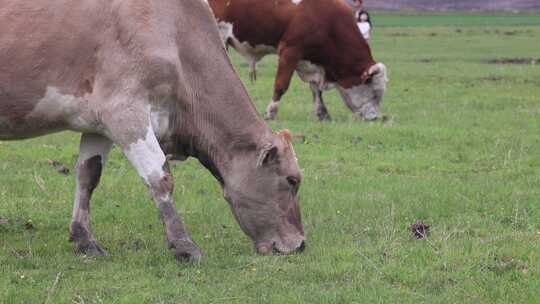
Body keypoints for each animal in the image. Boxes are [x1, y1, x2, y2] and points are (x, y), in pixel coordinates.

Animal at [0, 0, 304, 262]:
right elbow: (160, 178)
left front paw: (84, 239)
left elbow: (89, 175)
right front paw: (184, 245)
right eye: (292, 180)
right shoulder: (125, 112)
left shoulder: (99, 121)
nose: (301, 244)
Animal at [208, 0, 388, 120]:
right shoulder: (290, 51)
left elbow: (316, 89)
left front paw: (322, 113)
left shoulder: (312, 62)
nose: (375, 118)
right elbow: (281, 85)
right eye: (374, 91)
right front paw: (270, 112)